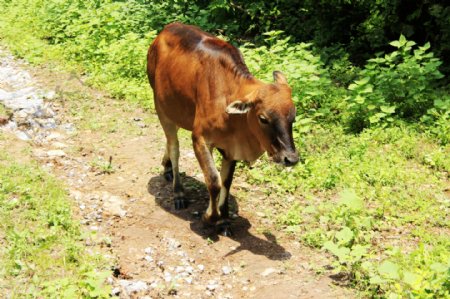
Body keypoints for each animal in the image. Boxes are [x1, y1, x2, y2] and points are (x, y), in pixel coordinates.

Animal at [146, 22, 298, 236]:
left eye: (293, 117)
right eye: (263, 118)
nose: (290, 159)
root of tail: (166, 29)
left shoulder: (231, 147)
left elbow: (226, 181)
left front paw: (224, 219)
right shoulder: (200, 139)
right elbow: (214, 180)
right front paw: (210, 217)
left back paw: (166, 166)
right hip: (162, 107)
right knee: (174, 147)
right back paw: (178, 192)